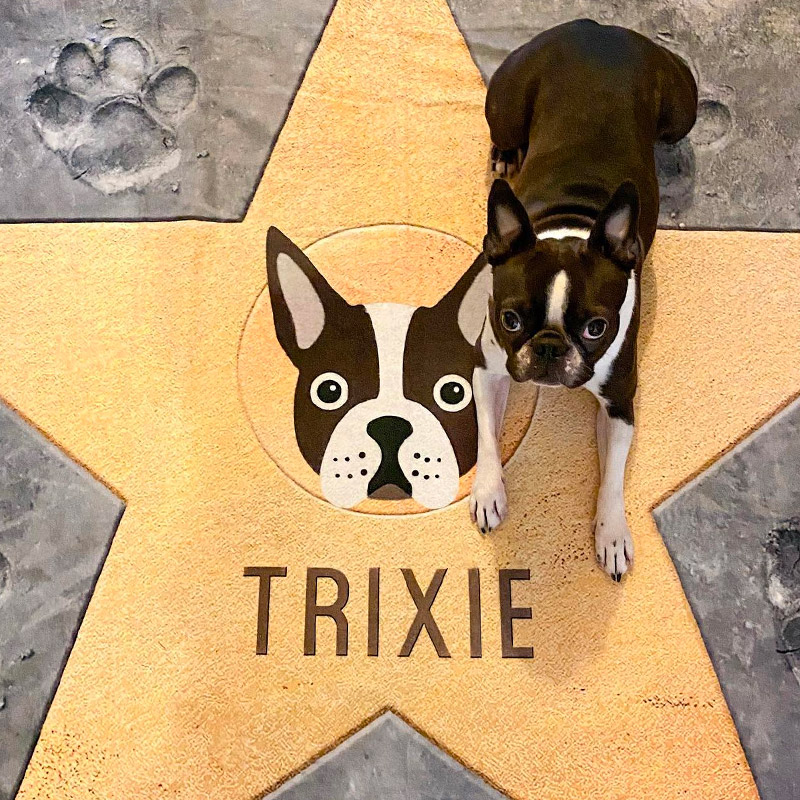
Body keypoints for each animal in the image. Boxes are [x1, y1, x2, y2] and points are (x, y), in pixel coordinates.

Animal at [466, 20, 696, 580]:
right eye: (509, 319)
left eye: (596, 328)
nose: (549, 348)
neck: (572, 223)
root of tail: (598, 29)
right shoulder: (490, 369)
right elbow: (487, 435)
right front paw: (488, 491)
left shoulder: (619, 402)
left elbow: (612, 478)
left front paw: (612, 535)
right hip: (504, 101)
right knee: (505, 132)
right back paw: (506, 155)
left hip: (685, 109)